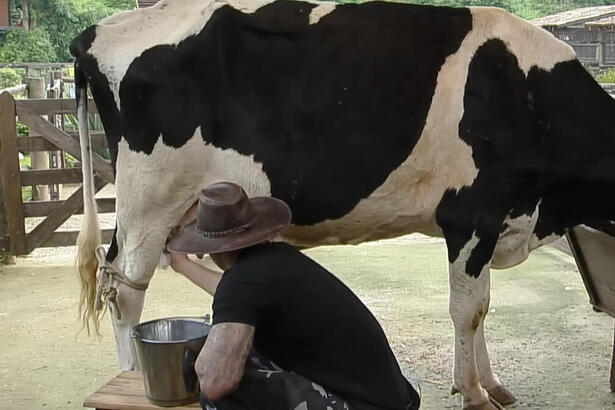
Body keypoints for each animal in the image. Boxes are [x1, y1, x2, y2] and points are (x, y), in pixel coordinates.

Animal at [70, 1, 615, 408]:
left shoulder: (498, 220)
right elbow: (468, 310)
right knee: (124, 290)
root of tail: (98, 32)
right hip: (148, 197)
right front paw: (474, 393)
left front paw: (490, 384)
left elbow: (482, 306)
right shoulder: (471, 213)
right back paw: (129, 376)